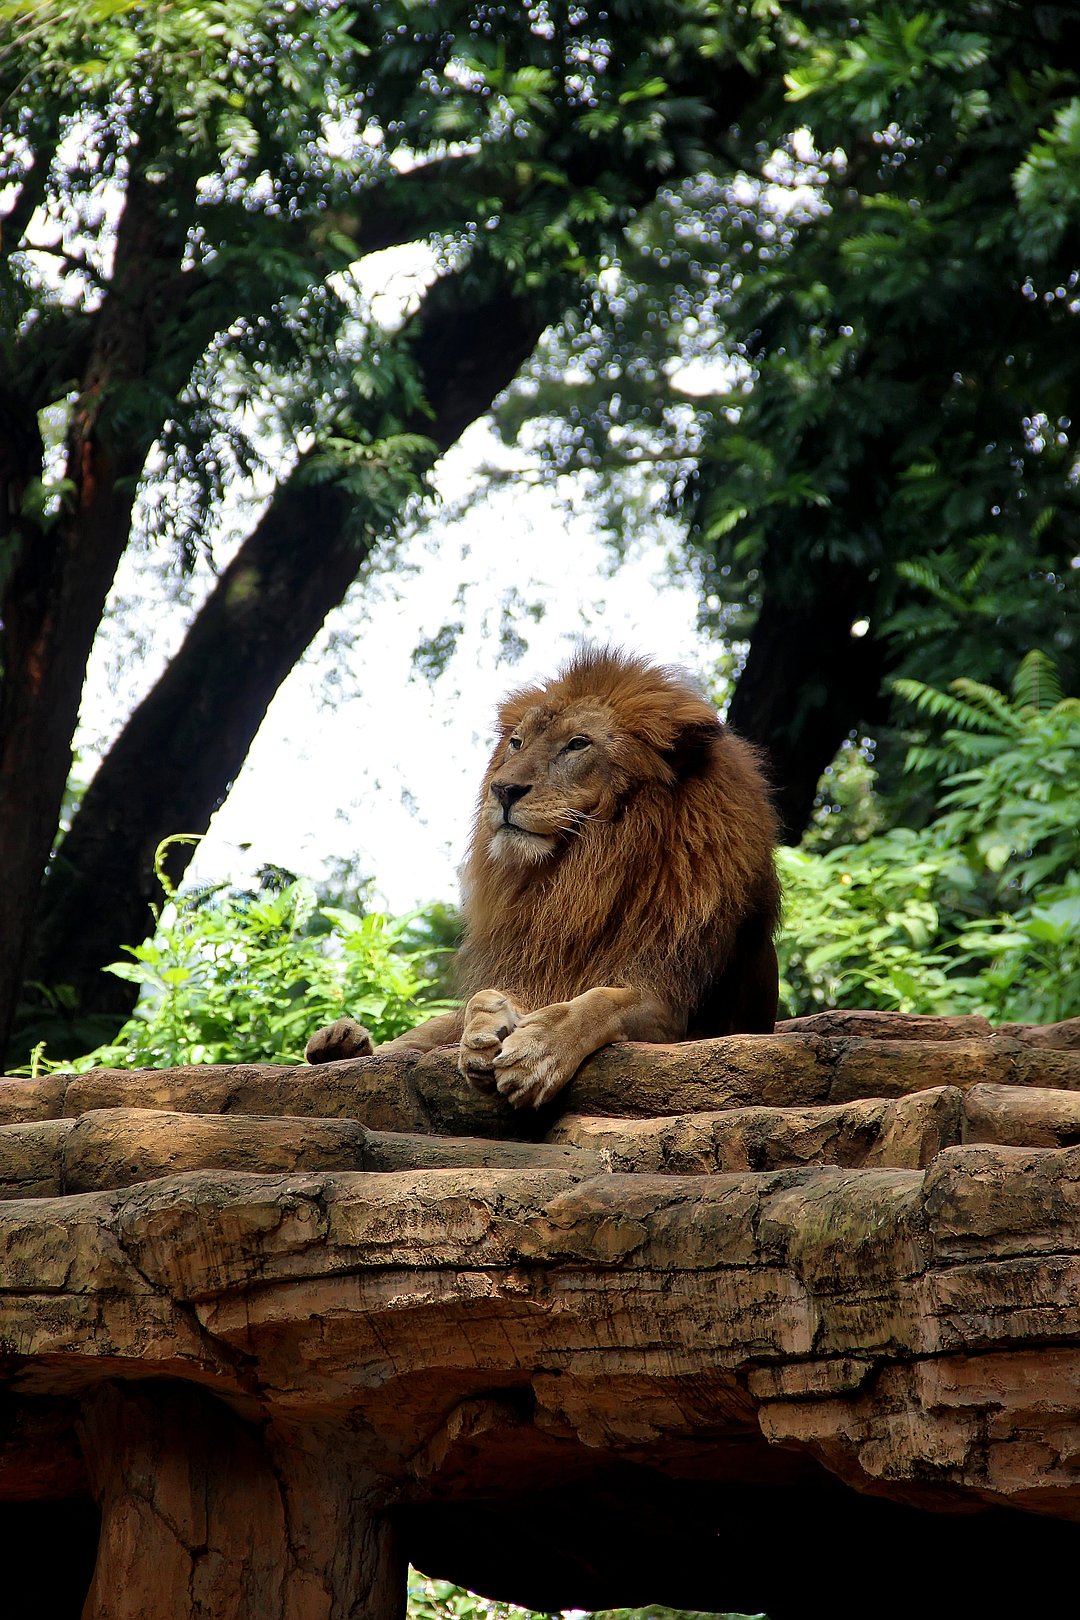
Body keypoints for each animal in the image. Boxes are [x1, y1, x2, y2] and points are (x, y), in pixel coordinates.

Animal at [306, 647, 780, 1108]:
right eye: (516, 743)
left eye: (577, 744)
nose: (502, 790)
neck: (581, 873)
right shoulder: (532, 965)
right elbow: (480, 1000)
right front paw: (484, 1029)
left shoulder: (670, 1000)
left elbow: (597, 1002)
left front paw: (538, 1051)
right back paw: (339, 1043)